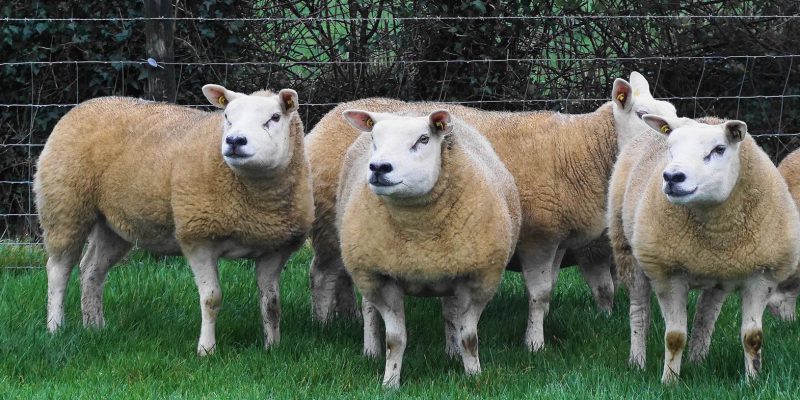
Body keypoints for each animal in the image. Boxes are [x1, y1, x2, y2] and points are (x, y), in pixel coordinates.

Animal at [33, 84, 314, 355]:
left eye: (275, 117)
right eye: (227, 116)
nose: (234, 141)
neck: (256, 203)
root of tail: (85, 105)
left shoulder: (275, 249)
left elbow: (272, 303)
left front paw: (273, 348)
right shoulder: (197, 237)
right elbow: (211, 299)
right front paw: (206, 350)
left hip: (114, 223)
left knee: (91, 269)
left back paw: (94, 327)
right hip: (65, 205)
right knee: (58, 270)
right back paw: (55, 328)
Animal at [306, 71, 677, 352]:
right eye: (644, 117)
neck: (589, 147)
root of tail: (327, 118)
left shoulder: (558, 238)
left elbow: (548, 291)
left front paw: (540, 329)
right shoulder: (539, 237)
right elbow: (541, 293)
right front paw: (534, 345)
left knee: (343, 275)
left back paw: (349, 317)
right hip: (332, 225)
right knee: (321, 274)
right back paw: (323, 325)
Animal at [336, 109, 520, 387]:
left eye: (423, 139)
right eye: (374, 138)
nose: (379, 167)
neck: (418, 233)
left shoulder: (478, 279)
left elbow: (469, 338)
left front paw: (474, 376)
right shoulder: (380, 278)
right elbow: (395, 340)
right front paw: (390, 383)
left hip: (451, 266)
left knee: (450, 312)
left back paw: (452, 352)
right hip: (364, 267)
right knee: (369, 309)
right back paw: (370, 351)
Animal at [607, 114, 800, 383]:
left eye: (719, 149)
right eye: (670, 148)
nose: (672, 177)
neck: (717, 232)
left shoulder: (762, 276)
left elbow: (752, 338)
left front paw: (753, 382)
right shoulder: (669, 275)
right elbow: (674, 337)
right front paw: (669, 382)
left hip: (719, 276)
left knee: (706, 314)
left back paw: (697, 360)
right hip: (626, 249)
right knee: (639, 311)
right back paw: (637, 362)